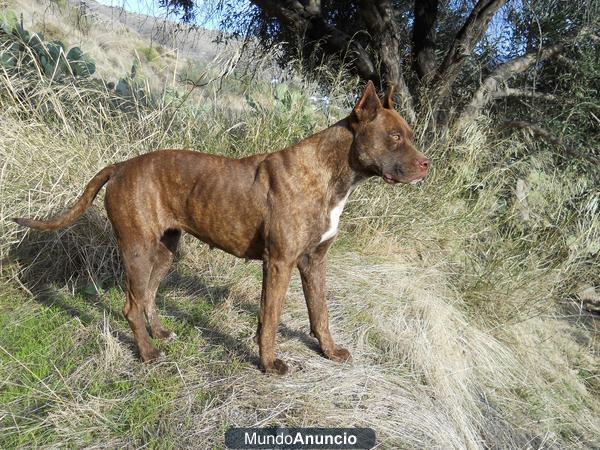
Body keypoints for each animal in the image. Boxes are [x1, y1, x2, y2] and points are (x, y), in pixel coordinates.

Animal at [12, 81, 426, 376]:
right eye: (394, 137)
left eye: (409, 135)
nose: (427, 165)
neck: (331, 174)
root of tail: (120, 166)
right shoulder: (279, 263)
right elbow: (270, 318)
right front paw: (268, 365)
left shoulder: (314, 262)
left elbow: (320, 312)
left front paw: (329, 351)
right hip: (137, 250)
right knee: (131, 304)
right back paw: (147, 353)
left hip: (164, 252)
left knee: (147, 297)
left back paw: (159, 333)